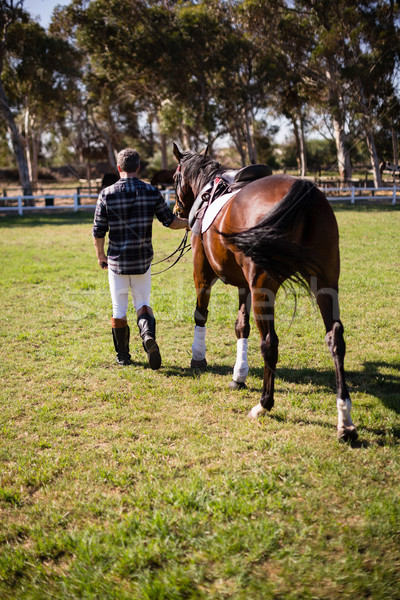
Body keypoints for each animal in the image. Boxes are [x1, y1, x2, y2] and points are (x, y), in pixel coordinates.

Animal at [172, 142, 356, 440]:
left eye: (175, 177)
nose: (177, 210)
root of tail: (305, 189)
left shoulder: (202, 271)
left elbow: (201, 314)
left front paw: (198, 358)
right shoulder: (244, 284)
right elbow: (241, 326)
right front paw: (239, 375)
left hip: (263, 286)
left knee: (270, 342)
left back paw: (263, 404)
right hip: (325, 281)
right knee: (335, 338)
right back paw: (345, 420)